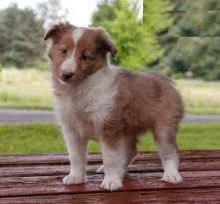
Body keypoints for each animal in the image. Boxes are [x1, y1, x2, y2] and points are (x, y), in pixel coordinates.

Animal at [43, 22, 183, 191]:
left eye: (85, 56)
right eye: (64, 50)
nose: (66, 75)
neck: (80, 89)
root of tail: (168, 82)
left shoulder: (109, 127)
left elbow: (110, 157)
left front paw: (111, 181)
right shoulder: (72, 130)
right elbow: (76, 156)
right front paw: (75, 177)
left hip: (164, 128)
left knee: (170, 153)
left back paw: (171, 175)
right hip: (128, 130)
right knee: (131, 151)